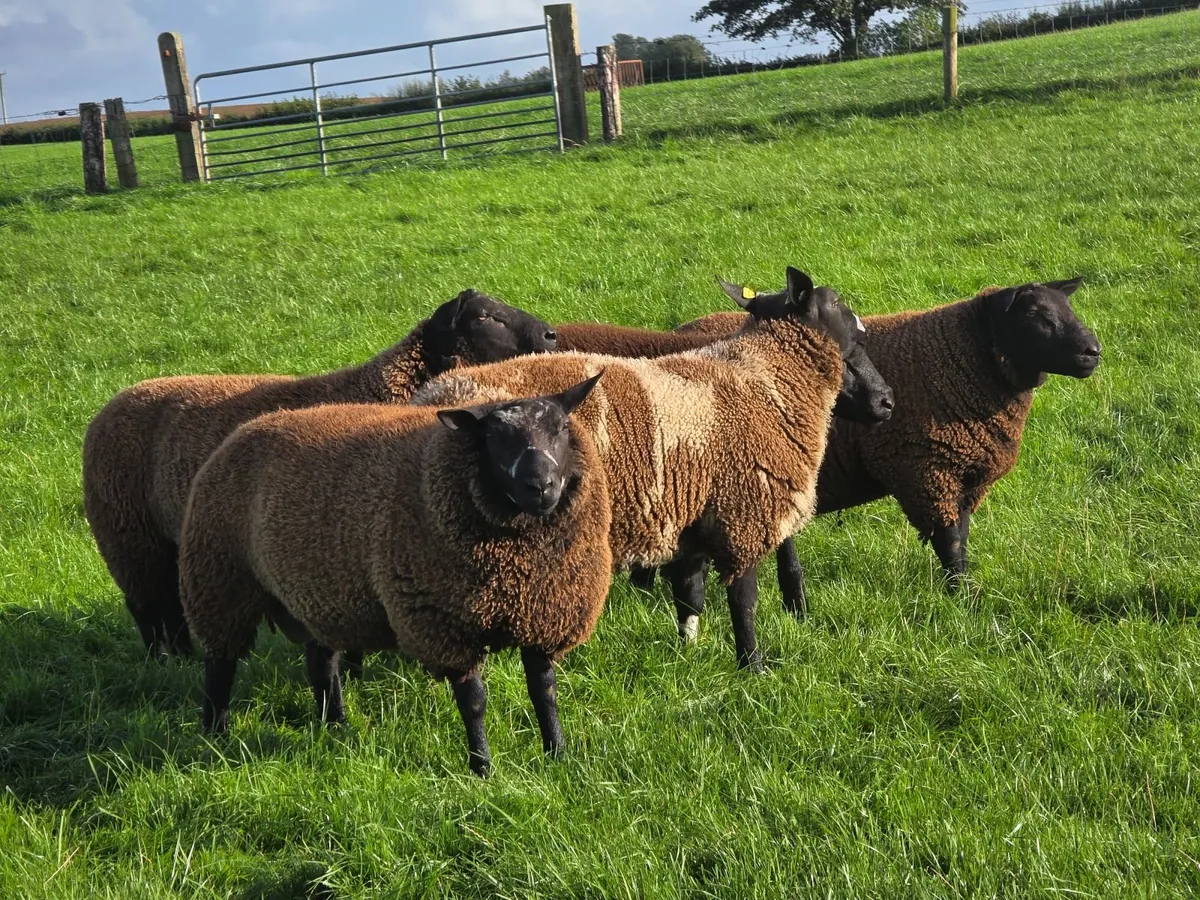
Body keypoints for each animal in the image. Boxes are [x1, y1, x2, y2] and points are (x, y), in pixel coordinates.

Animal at [83, 289, 558, 658]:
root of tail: (110, 405)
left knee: (171, 609)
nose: (551, 335)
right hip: (129, 536)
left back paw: (181, 656)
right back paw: (163, 662)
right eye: (483, 316)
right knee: (148, 608)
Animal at [178, 375, 610, 776]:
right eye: (493, 438)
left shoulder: (546, 615)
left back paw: (335, 725)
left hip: (319, 594)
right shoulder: (445, 628)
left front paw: (557, 754)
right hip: (219, 580)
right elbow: (474, 704)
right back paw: (215, 735)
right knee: (220, 667)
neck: (518, 566)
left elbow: (545, 692)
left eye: (561, 428)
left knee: (321, 663)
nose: (541, 486)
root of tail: (243, 431)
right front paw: (482, 769)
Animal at [413, 267, 880, 671]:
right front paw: (753, 668)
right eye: (843, 314)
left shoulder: (691, 514)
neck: (765, 376)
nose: (887, 401)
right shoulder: (742, 513)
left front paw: (688, 652)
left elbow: (690, 595)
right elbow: (743, 602)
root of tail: (428, 398)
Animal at [676, 279, 1102, 614]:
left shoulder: (964, 480)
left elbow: (961, 539)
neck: (966, 359)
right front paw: (964, 603)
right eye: (1035, 313)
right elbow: (951, 547)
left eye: (1068, 307)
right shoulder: (924, 472)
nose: (1093, 351)